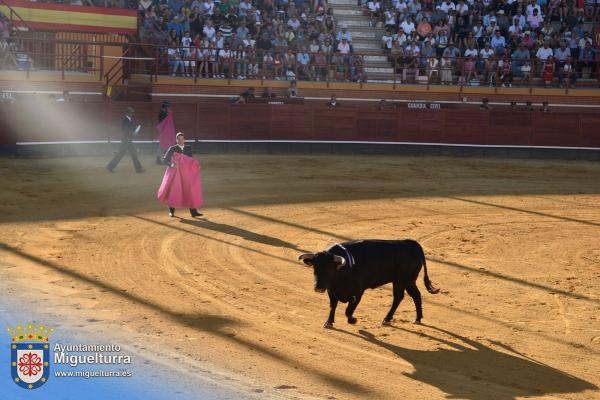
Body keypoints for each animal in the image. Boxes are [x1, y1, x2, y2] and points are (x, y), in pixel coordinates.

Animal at [298, 241, 438, 328]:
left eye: (329, 269)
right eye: (315, 267)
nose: (318, 287)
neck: (344, 269)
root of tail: (411, 243)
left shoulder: (358, 293)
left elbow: (348, 310)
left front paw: (353, 320)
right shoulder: (332, 291)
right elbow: (333, 306)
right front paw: (329, 322)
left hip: (402, 281)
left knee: (399, 297)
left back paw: (387, 319)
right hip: (408, 281)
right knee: (416, 295)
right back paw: (418, 318)